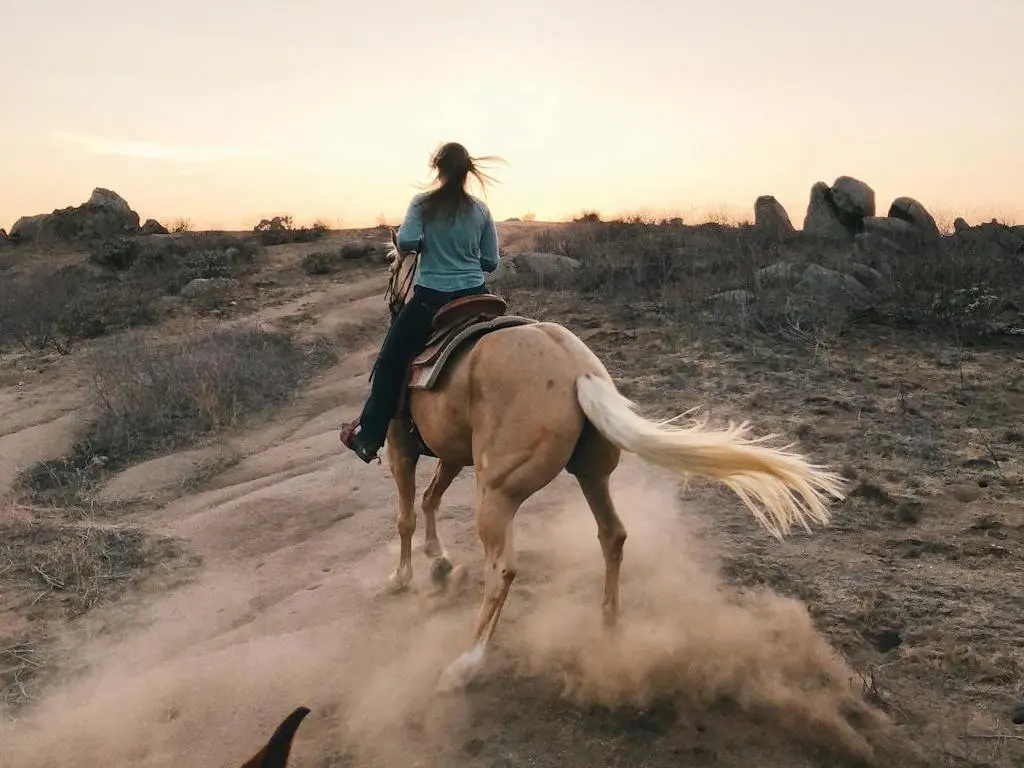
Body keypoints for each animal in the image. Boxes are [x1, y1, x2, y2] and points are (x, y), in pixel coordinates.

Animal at [376, 230, 847, 692]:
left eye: (392, 264)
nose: (392, 301)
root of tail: (577, 371)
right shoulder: (452, 452)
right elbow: (431, 498)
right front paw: (438, 561)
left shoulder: (400, 445)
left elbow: (406, 515)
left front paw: (402, 575)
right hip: (592, 474)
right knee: (613, 536)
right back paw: (609, 625)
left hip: (497, 492)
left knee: (503, 570)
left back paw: (465, 665)